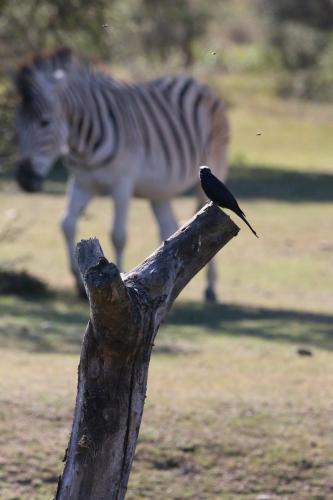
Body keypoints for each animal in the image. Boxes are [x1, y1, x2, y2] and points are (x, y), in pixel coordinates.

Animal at [14, 48, 230, 300]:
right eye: (16, 124)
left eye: (44, 122)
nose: (24, 180)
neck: (83, 142)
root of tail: (197, 83)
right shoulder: (83, 181)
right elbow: (66, 223)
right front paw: (78, 283)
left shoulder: (122, 183)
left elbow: (118, 234)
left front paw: (122, 279)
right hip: (160, 190)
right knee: (170, 228)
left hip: (211, 169)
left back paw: (210, 288)